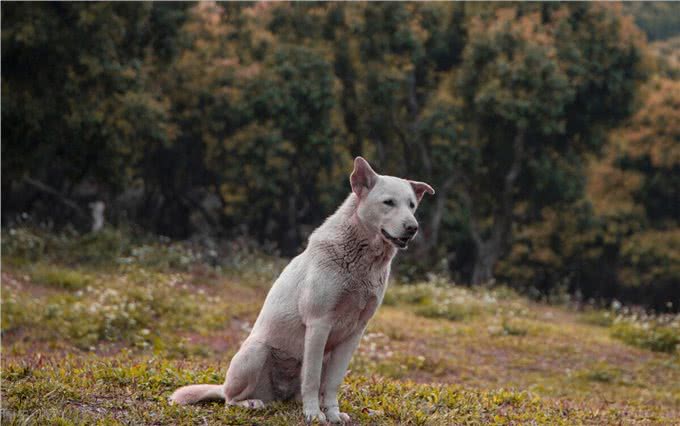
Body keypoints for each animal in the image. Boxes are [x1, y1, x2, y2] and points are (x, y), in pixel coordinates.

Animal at [171, 156, 436, 422]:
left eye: (412, 205)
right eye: (388, 202)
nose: (413, 227)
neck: (363, 261)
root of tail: (278, 396)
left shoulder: (354, 333)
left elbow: (332, 383)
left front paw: (333, 414)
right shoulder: (319, 324)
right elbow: (311, 377)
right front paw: (314, 415)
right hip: (256, 351)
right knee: (230, 399)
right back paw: (251, 403)